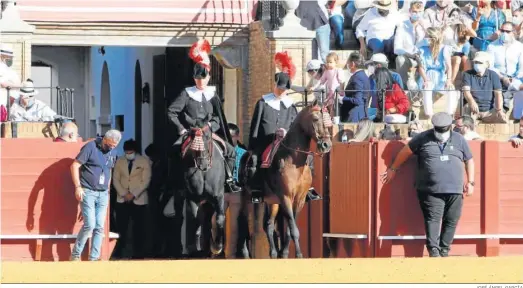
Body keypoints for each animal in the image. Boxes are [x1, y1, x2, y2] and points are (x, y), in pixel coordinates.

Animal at [178, 117, 227, 256]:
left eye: (207, 137)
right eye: (193, 138)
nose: (203, 163)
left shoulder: (218, 195)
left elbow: (220, 218)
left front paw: (217, 246)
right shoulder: (192, 197)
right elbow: (196, 220)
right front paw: (198, 248)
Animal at [237, 99, 332, 258]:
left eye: (328, 119)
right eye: (315, 119)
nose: (326, 145)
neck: (293, 161)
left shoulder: (299, 200)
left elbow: (289, 228)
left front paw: (285, 253)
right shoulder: (286, 197)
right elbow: (293, 230)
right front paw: (299, 255)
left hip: (272, 201)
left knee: (268, 225)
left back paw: (274, 253)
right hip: (247, 197)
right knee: (243, 222)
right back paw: (244, 253)